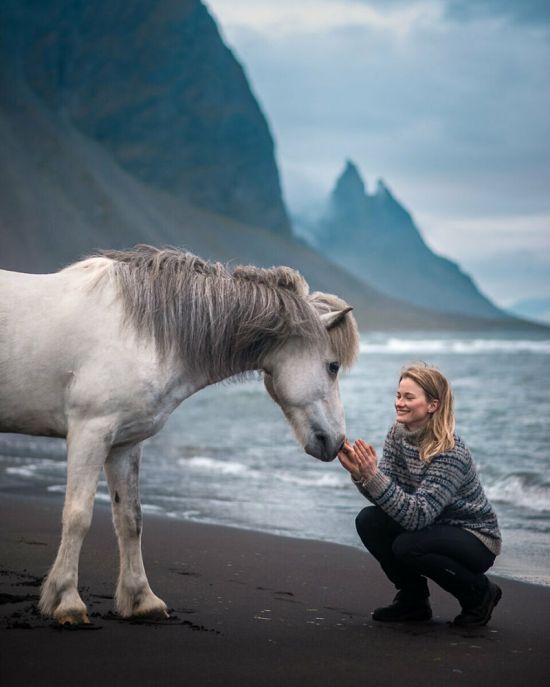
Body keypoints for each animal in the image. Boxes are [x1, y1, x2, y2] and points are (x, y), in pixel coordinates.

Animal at [0, 246, 362, 624]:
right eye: (333, 366)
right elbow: (77, 516)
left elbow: (130, 519)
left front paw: (142, 600)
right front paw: (66, 601)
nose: (336, 442)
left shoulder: (124, 444)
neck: (140, 333)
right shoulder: (90, 432)